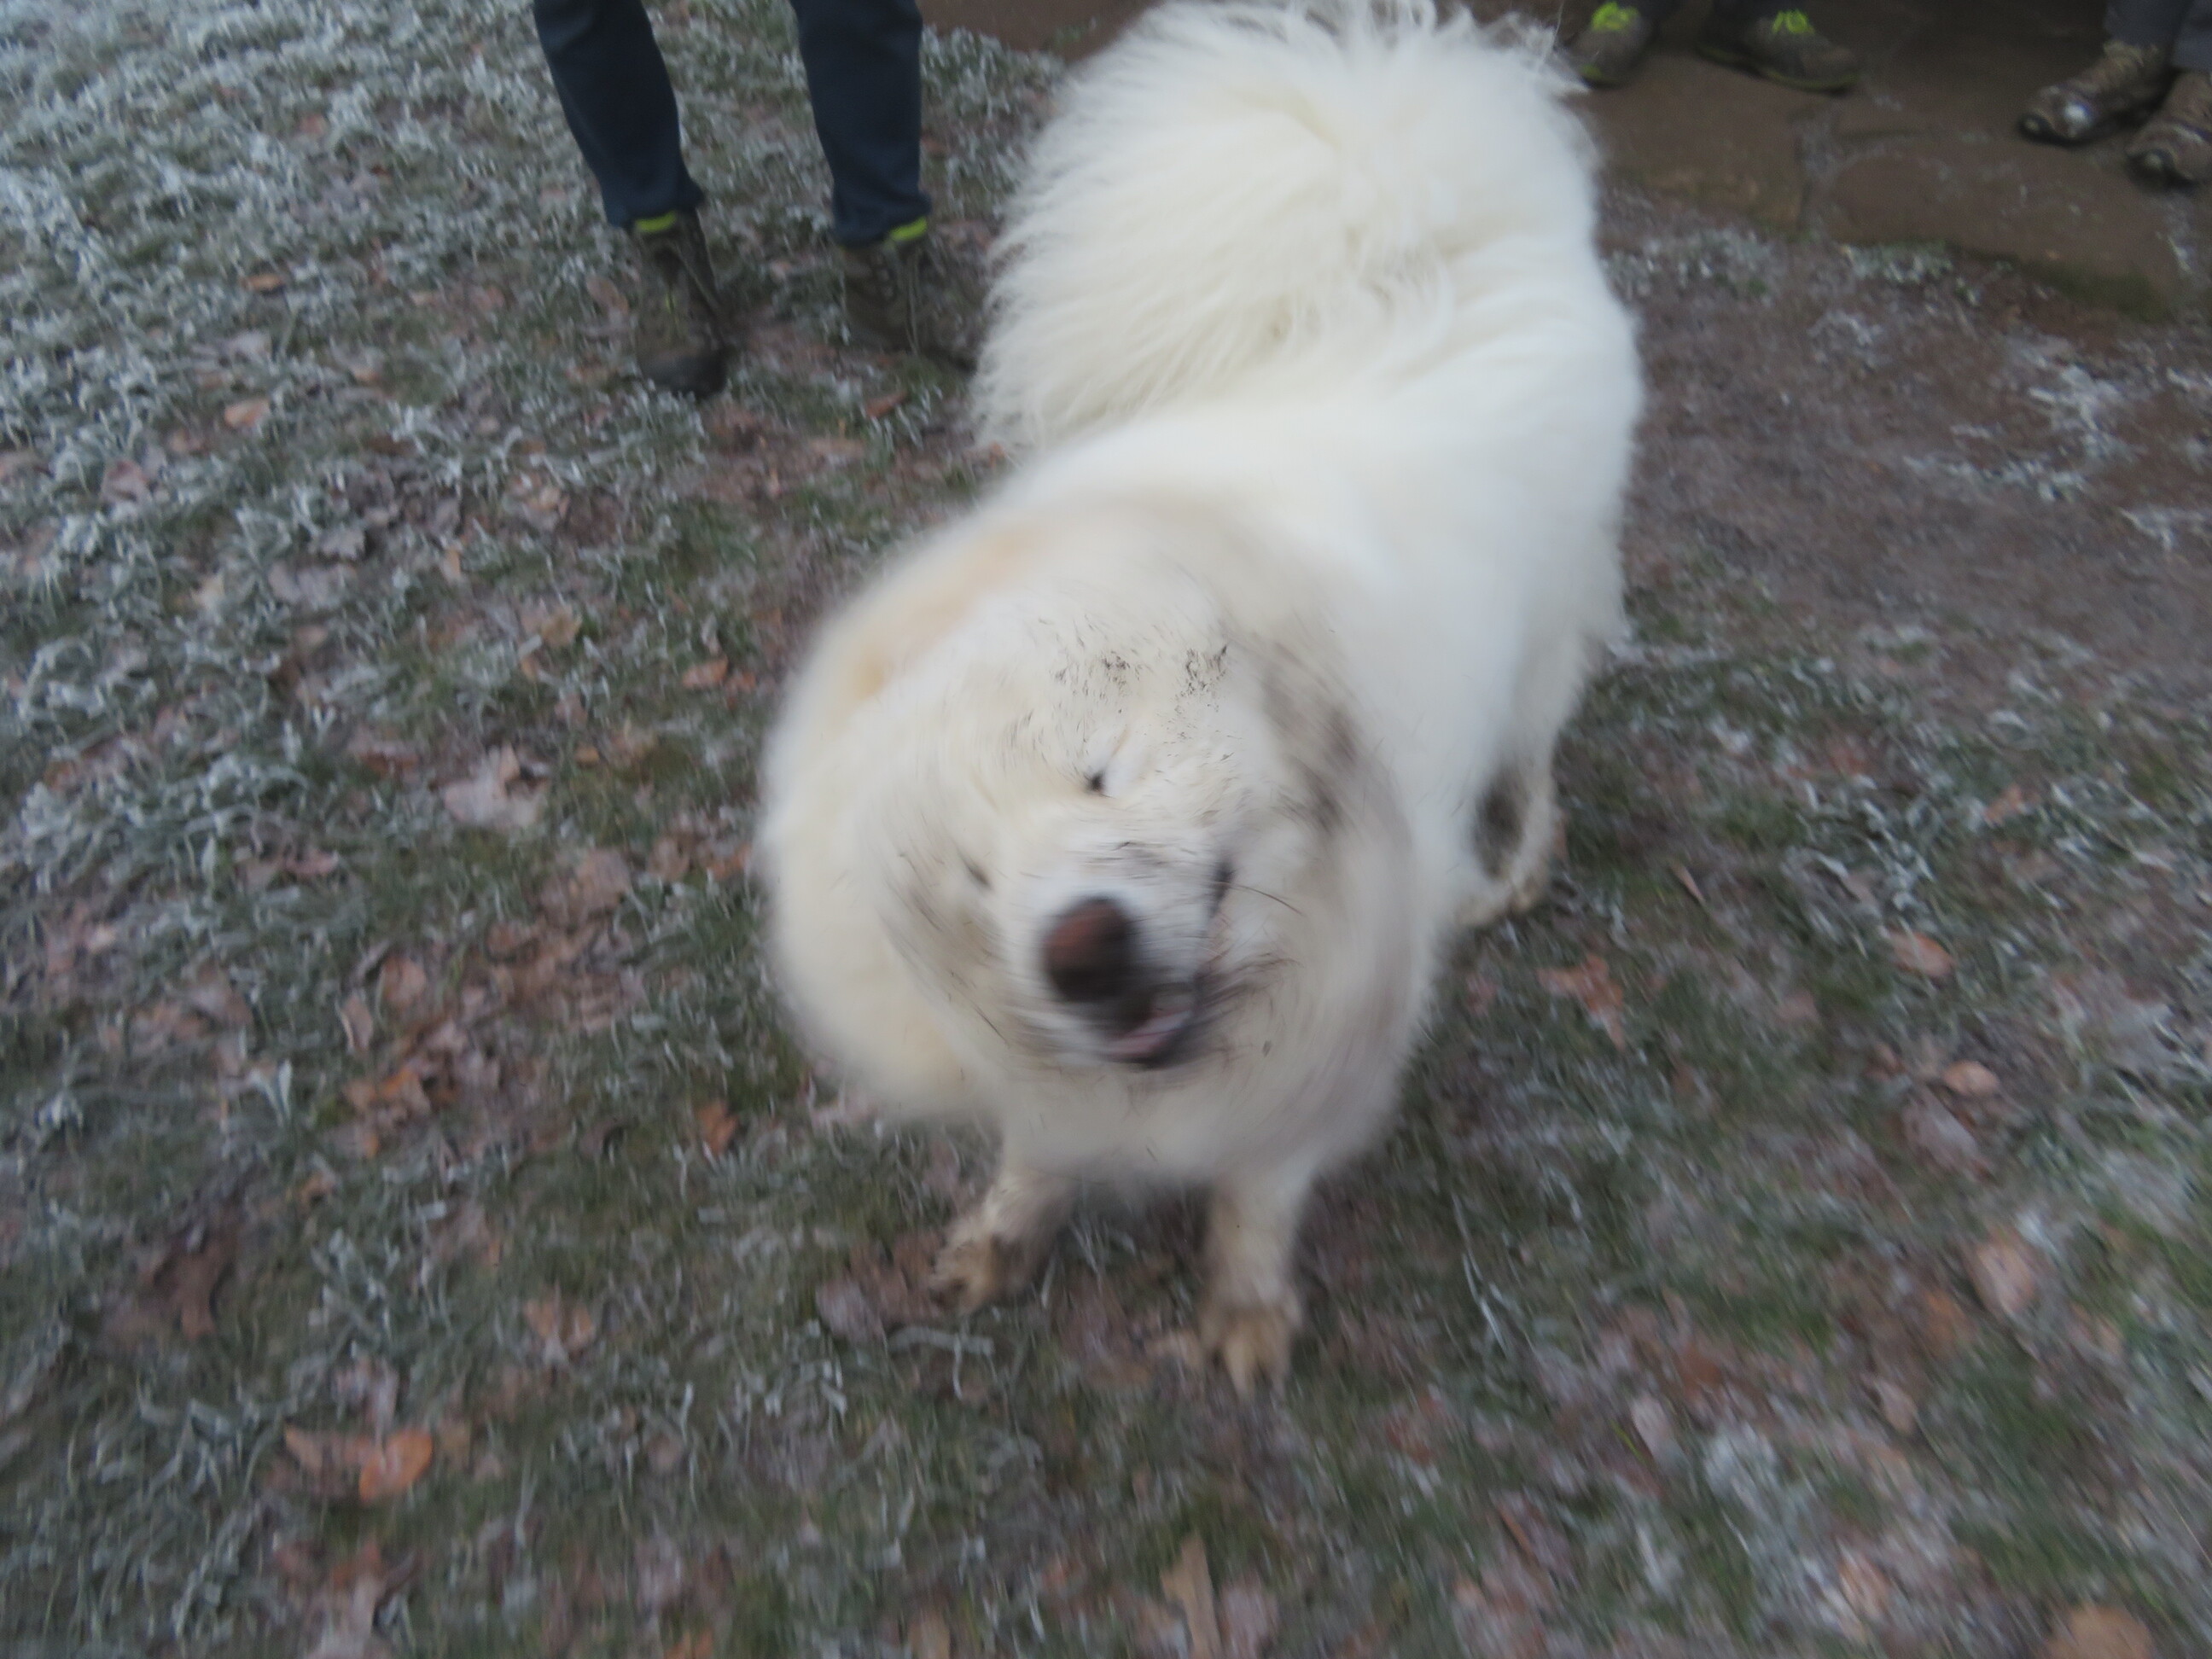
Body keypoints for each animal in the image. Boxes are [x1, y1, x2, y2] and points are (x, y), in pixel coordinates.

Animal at [760, 0, 1640, 1391]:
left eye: (1104, 766)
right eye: (973, 879)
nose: (1083, 949)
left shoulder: (1322, 1036)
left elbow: (1259, 1192)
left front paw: (1247, 1308)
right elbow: (1039, 1151)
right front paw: (1003, 1238)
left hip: (1545, 632)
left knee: (1537, 758)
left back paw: (1509, 873)